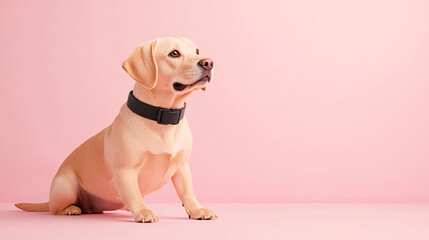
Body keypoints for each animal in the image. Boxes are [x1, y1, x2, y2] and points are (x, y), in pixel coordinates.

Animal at [14, 37, 216, 223]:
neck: (163, 119)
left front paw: (196, 209)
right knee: (55, 208)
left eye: (197, 51)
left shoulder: (182, 167)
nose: (208, 62)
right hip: (66, 184)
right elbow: (133, 193)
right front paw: (143, 211)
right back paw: (70, 208)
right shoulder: (125, 171)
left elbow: (188, 191)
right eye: (174, 53)